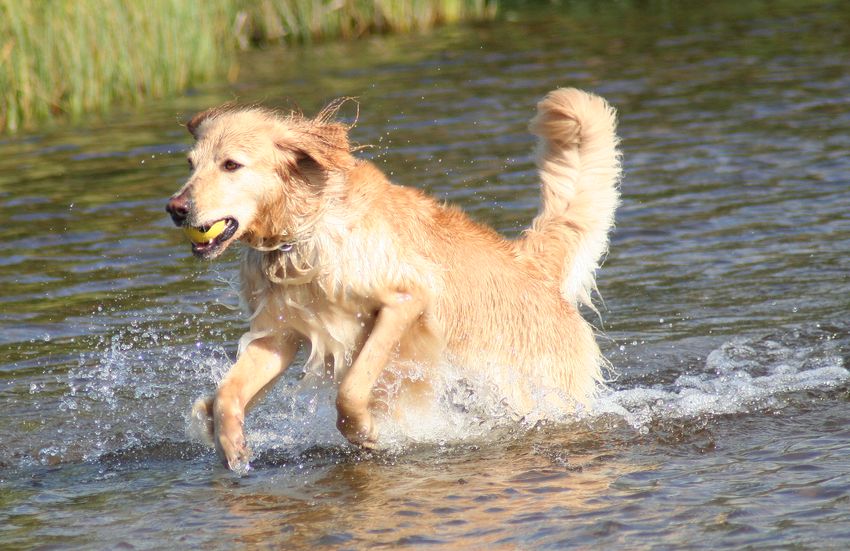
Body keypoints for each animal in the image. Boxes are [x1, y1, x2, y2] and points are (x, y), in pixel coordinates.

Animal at [166, 88, 621, 470]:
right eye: (190, 164)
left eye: (231, 164)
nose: (175, 208)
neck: (304, 235)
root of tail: (533, 265)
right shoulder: (280, 333)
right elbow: (228, 392)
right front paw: (230, 443)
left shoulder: (405, 299)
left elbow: (353, 384)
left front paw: (365, 432)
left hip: (537, 390)